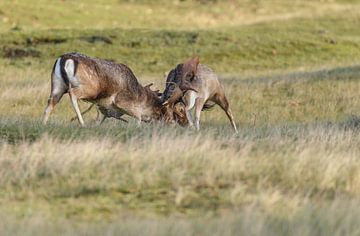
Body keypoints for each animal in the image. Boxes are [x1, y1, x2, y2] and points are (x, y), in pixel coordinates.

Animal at [42, 52, 194, 126]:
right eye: (178, 110)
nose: (186, 123)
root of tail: (64, 59)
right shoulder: (122, 102)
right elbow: (138, 117)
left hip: (57, 85)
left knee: (50, 103)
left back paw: (44, 122)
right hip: (88, 88)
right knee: (73, 95)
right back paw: (82, 122)